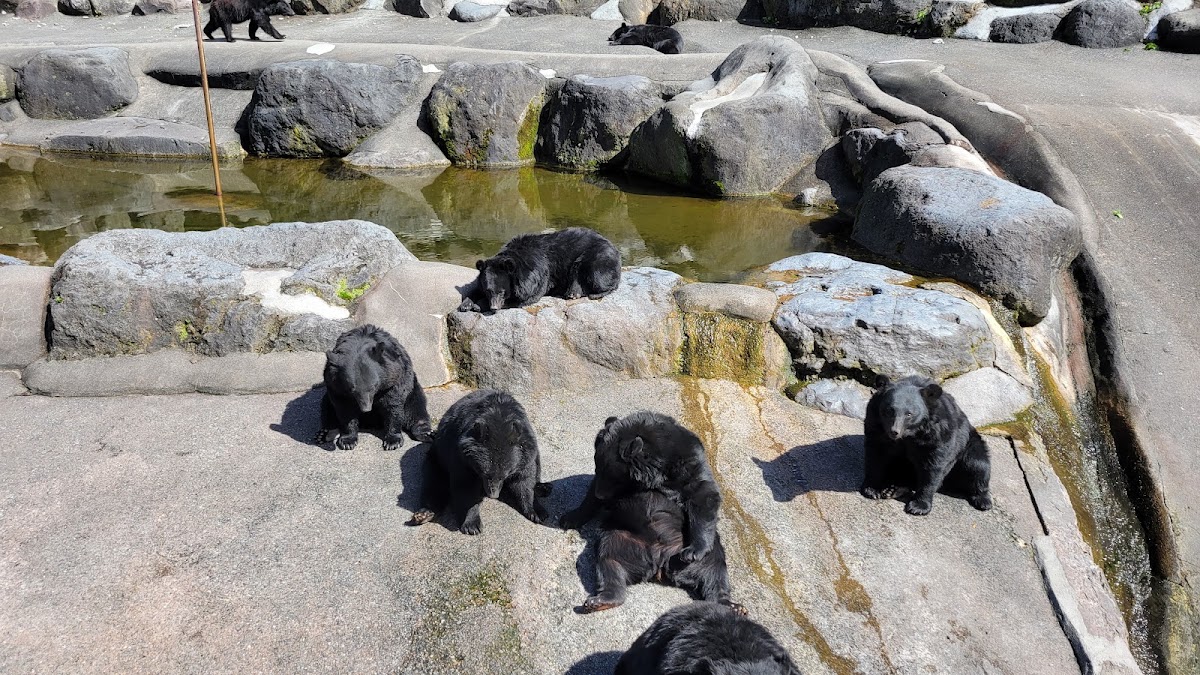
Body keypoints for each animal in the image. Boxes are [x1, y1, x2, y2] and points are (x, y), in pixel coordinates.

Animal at [406, 389, 549, 535]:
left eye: (505, 475)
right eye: (485, 474)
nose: (493, 495)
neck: (498, 419)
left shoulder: (525, 451)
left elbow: (524, 479)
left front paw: (537, 512)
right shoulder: (462, 455)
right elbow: (465, 485)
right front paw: (472, 525)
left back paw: (543, 488)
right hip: (437, 458)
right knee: (434, 483)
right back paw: (424, 514)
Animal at [456, 227, 621, 313]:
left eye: (502, 292)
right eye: (489, 290)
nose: (493, 307)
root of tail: (615, 249)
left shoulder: (539, 275)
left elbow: (525, 298)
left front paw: (479, 306)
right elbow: (475, 287)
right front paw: (466, 304)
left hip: (598, 259)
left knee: (599, 277)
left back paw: (586, 293)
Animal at [560, 486, 743, 614]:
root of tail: (659, 562)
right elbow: (597, 492)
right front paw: (571, 517)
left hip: (693, 550)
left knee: (714, 567)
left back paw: (732, 606)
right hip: (623, 541)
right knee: (609, 560)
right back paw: (601, 600)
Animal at [563, 412, 722, 564]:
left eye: (614, 478)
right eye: (597, 468)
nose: (600, 495)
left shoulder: (687, 466)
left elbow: (703, 496)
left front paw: (692, 552)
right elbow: (590, 496)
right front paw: (570, 518)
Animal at [860, 374, 993, 516]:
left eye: (909, 414)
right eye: (889, 411)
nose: (894, 431)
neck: (909, 435)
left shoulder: (937, 433)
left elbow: (933, 465)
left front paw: (918, 506)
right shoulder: (875, 423)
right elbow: (876, 454)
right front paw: (872, 490)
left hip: (969, 445)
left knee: (978, 465)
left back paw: (983, 500)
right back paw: (892, 489)